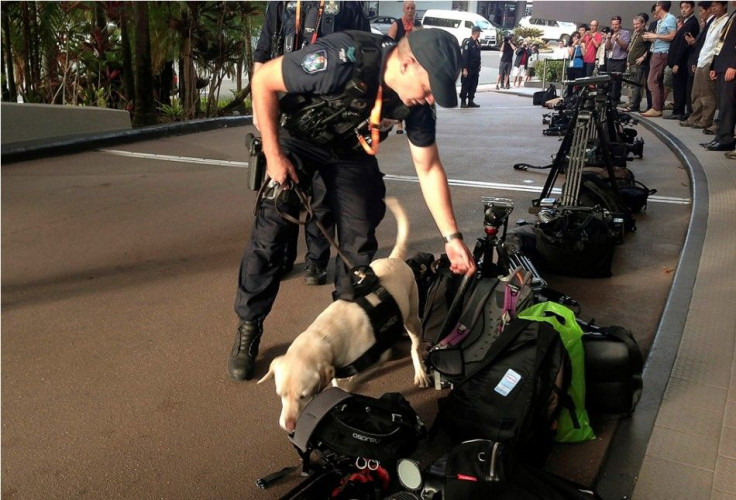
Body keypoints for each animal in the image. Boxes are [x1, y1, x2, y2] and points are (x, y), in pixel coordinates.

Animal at [260, 197, 428, 432]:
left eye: (304, 396)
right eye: (280, 394)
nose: (289, 426)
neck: (325, 336)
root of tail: (394, 259)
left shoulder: (377, 358)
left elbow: (348, 383)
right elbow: (337, 381)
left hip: (413, 318)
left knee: (415, 346)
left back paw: (420, 371)